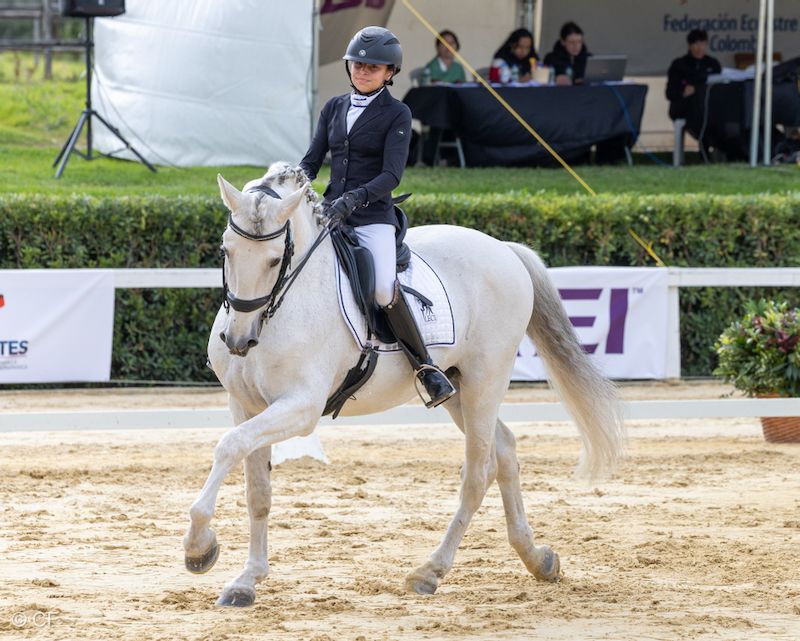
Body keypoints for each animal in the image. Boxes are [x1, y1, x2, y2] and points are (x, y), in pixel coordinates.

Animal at [183, 162, 625, 607]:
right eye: (225, 251)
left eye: (276, 260)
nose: (239, 341)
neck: (285, 303)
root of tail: (502, 248)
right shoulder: (246, 404)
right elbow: (257, 489)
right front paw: (245, 580)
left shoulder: (301, 407)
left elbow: (229, 446)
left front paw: (199, 547)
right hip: (456, 388)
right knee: (504, 452)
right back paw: (538, 559)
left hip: (486, 380)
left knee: (478, 472)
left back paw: (430, 572)